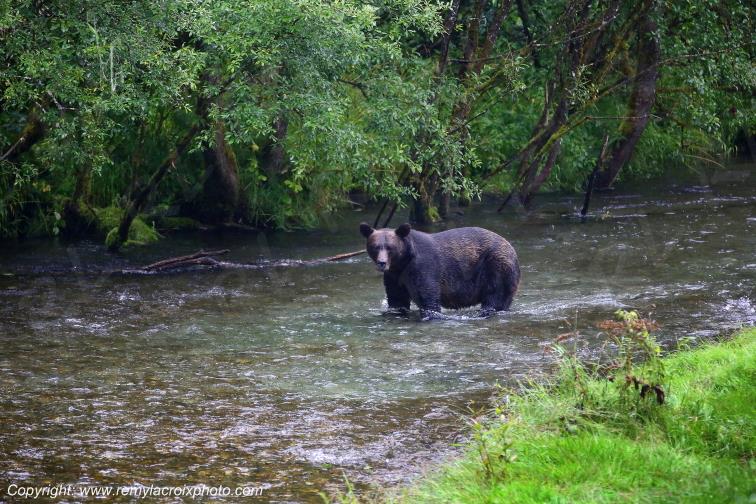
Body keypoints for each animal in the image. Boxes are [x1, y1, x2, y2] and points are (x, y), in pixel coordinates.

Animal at [359, 222, 520, 318]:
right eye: (375, 247)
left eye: (390, 247)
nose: (382, 263)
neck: (403, 262)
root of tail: (512, 249)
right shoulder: (394, 276)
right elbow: (397, 299)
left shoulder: (423, 267)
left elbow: (428, 297)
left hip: (496, 266)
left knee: (494, 296)